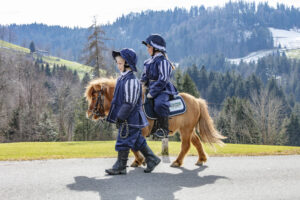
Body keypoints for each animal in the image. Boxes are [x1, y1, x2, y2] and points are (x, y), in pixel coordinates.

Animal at [85, 78, 225, 167]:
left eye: (94, 96)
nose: (89, 114)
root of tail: (196, 100)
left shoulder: (140, 130)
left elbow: (135, 146)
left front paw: (141, 160)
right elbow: (134, 146)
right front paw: (140, 161)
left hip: (186, 129)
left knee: (186, 145)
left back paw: (177, 162)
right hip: (187, 129)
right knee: (196, 141)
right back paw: (201, 159)